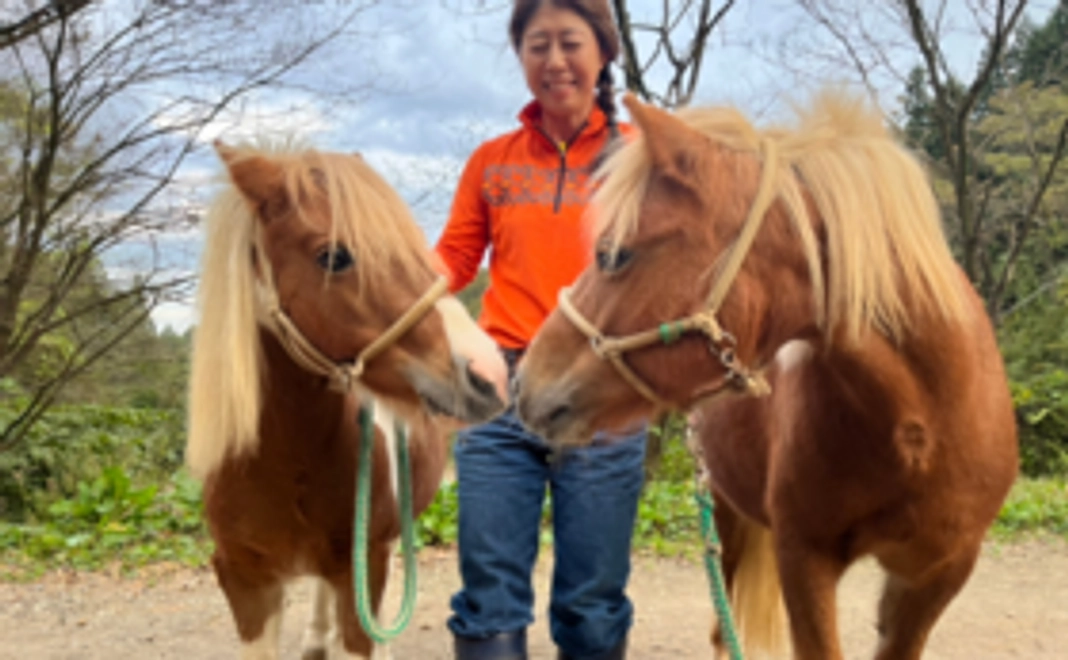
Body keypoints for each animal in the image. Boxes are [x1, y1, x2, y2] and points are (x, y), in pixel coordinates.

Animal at [513, 93, 1018, 660]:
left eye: (613, 254)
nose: (523, 384)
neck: (920, 424)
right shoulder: (803, 556)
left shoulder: (936, 575)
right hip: (727, 518)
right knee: (721, 628)